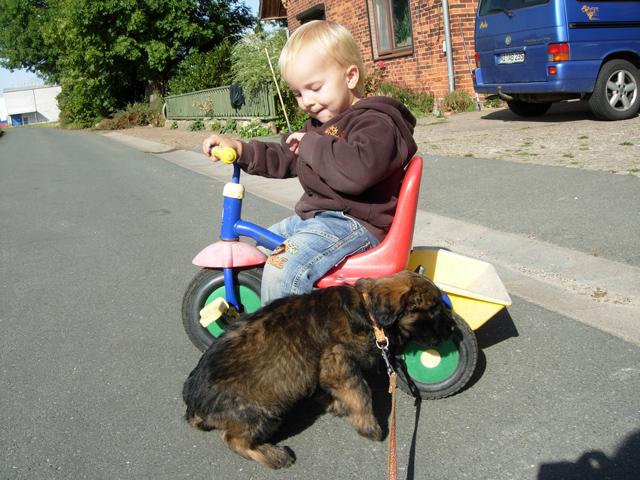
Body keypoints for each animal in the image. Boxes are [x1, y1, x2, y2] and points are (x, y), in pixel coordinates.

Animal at [182, 270, 455, 469]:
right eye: (433, 310)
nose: (453, 331)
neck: (367, 310)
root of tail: (193, 406)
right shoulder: (337, 364)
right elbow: (362, 393)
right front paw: (368, 426)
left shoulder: (326, 369)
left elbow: (330, 390)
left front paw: (335, 404)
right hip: (263, 413)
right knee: (233, 440)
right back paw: (274, 455)